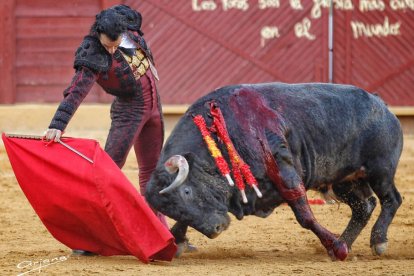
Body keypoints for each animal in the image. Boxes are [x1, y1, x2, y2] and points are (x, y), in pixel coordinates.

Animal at [145, 82, 402, 260]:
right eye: (169, 208)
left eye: (187, 192)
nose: (216, 229)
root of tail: (381, 104)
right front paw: (177, 241)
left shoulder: (284, 170)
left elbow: (304, 215)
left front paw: (335, 247)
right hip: (344, 180)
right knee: (364, 206)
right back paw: (347, 242)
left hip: (380, 171)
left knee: (391, 199)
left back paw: (376, 241)